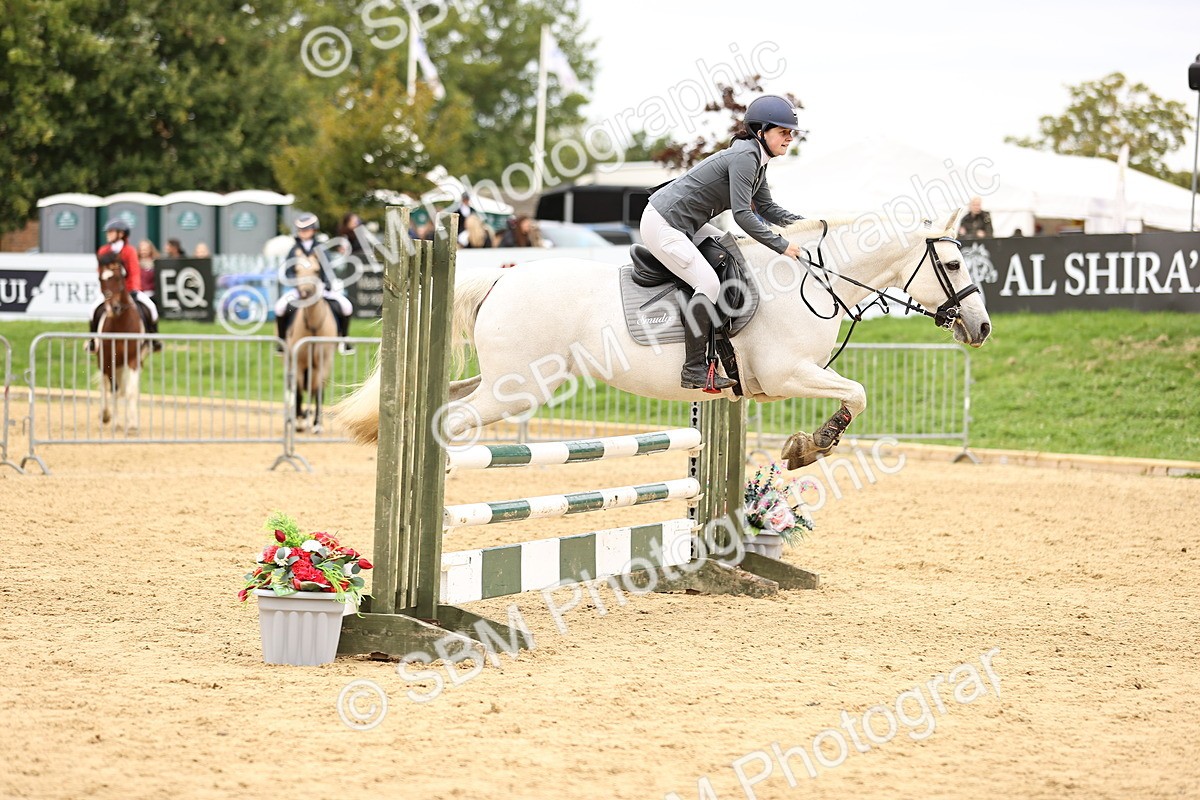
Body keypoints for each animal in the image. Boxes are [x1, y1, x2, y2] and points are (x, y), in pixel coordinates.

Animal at [96, 259, 147, 433]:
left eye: (118, 278)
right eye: (100, 279)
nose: (114, 307)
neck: (120, 324)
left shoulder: (133, 360)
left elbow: (130, 391)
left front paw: (132, 424)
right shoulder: (107, 360)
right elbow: (113, 390)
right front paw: (114, 421)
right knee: (106, 387)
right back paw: (106, 415)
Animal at [285, 253, 337, 433]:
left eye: (316, 270)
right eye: (296, 270)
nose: (304, 292)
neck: (313, 326)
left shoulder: (323, 363)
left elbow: (318, 391)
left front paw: (317, 424)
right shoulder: (298, 363)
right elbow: (299, 390)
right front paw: (299, 421)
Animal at [335, 208, 991, 468]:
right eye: (955, 265)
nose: (982, 328)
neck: (811, 280)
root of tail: (501, 275)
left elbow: (854, 393)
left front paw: (805, 445)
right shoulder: (787, 375)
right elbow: (856, 393)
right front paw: (811, 447)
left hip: (505, 379)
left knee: (444, 398)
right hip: (517, 390)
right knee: (453, 419)